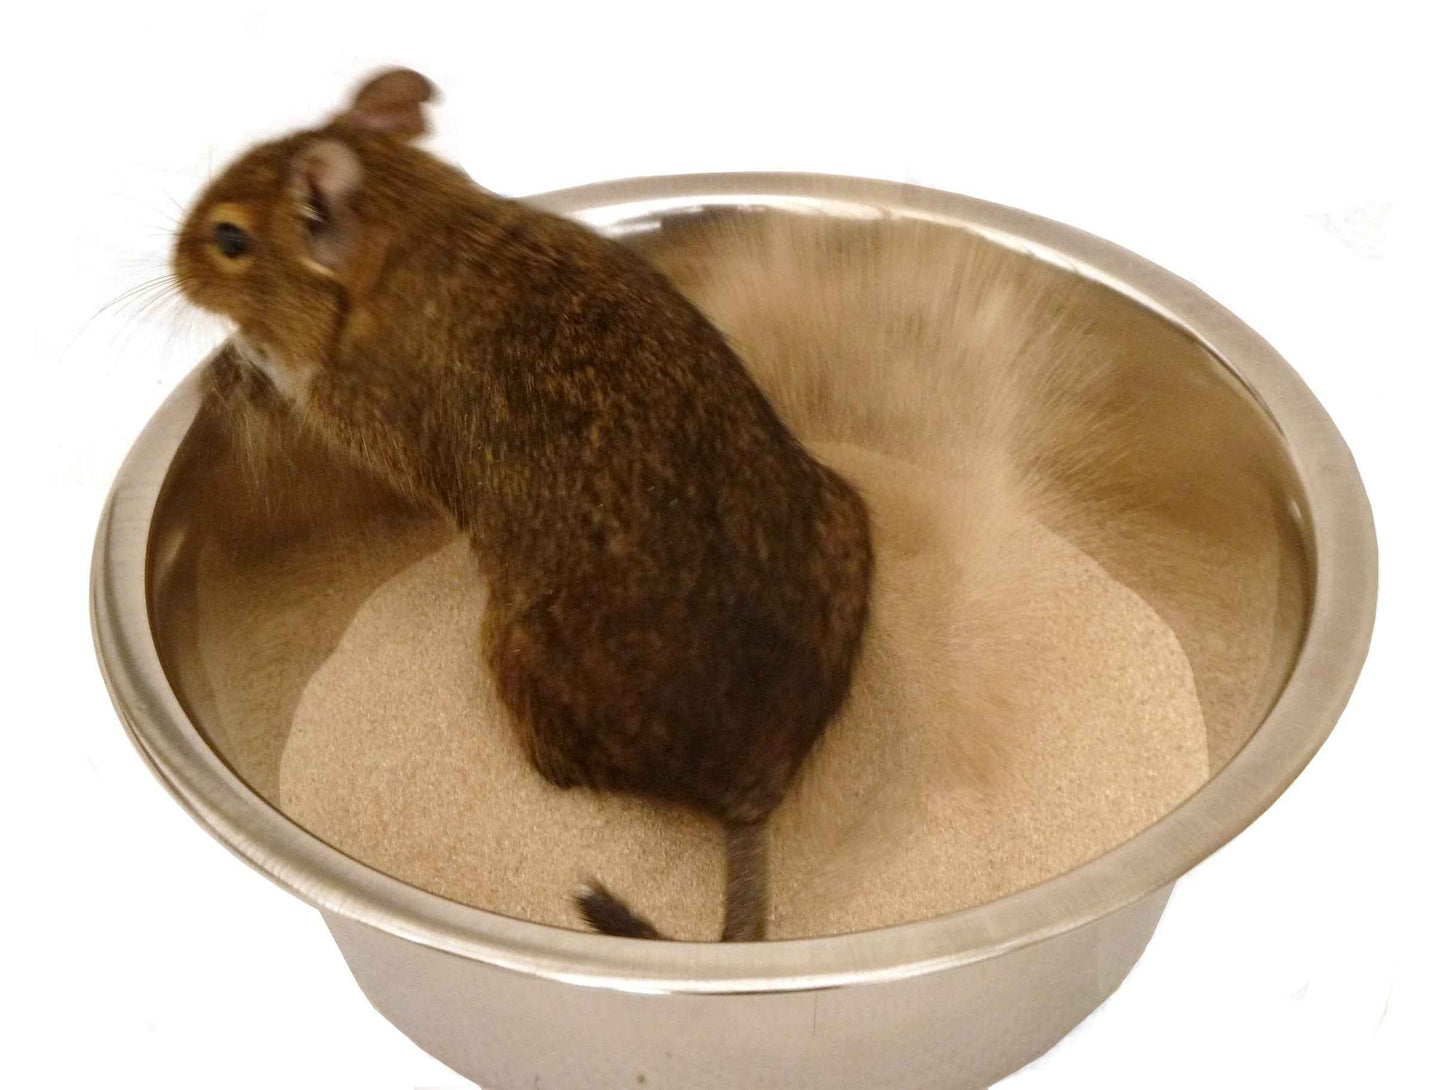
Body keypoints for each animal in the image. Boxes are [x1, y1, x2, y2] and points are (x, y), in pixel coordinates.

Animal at [171, 69, 873, 941]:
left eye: (230, 240)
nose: (171, 263)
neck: (417, 222)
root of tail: (749, 789)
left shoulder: (366, 419)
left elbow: (292, 378)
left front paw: (246, 355)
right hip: (847, 515)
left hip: (510, 654)